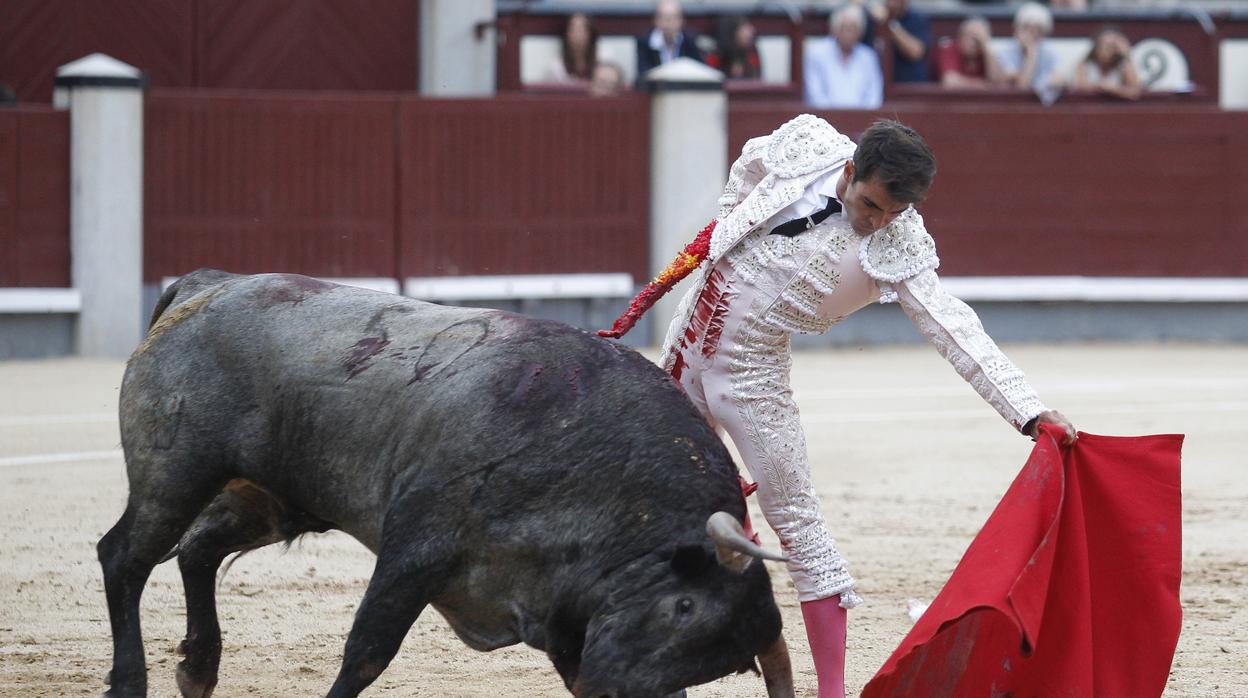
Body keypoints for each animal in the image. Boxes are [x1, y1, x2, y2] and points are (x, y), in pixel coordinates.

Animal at [99, 272, 798, 698]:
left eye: (714, 664)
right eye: (683, 607)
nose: (616, 689)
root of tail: (210, 285)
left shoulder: (566, 611)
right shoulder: (417, 549)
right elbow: (368, 650)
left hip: (271, 496)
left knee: (197, 549)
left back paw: (197, 668)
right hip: (175, 474)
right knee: (125, 557)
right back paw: (131, 680)